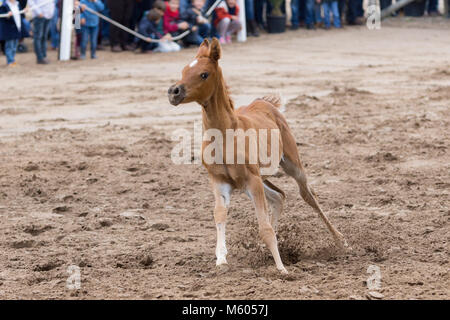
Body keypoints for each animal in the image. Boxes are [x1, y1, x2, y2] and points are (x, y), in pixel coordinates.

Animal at [167, 37, 346, 272]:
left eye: (203, 74)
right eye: (184, 69)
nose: (174, 92)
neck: (226, 134)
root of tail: (265, 102)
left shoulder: (252, 180)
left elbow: (264, 226)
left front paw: (281, 268)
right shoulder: (220, 181)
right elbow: (220, 214)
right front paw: (221, 259)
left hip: (291, 166)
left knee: (308, 196)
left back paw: (340, 239)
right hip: (258, 179)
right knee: (279, 197)